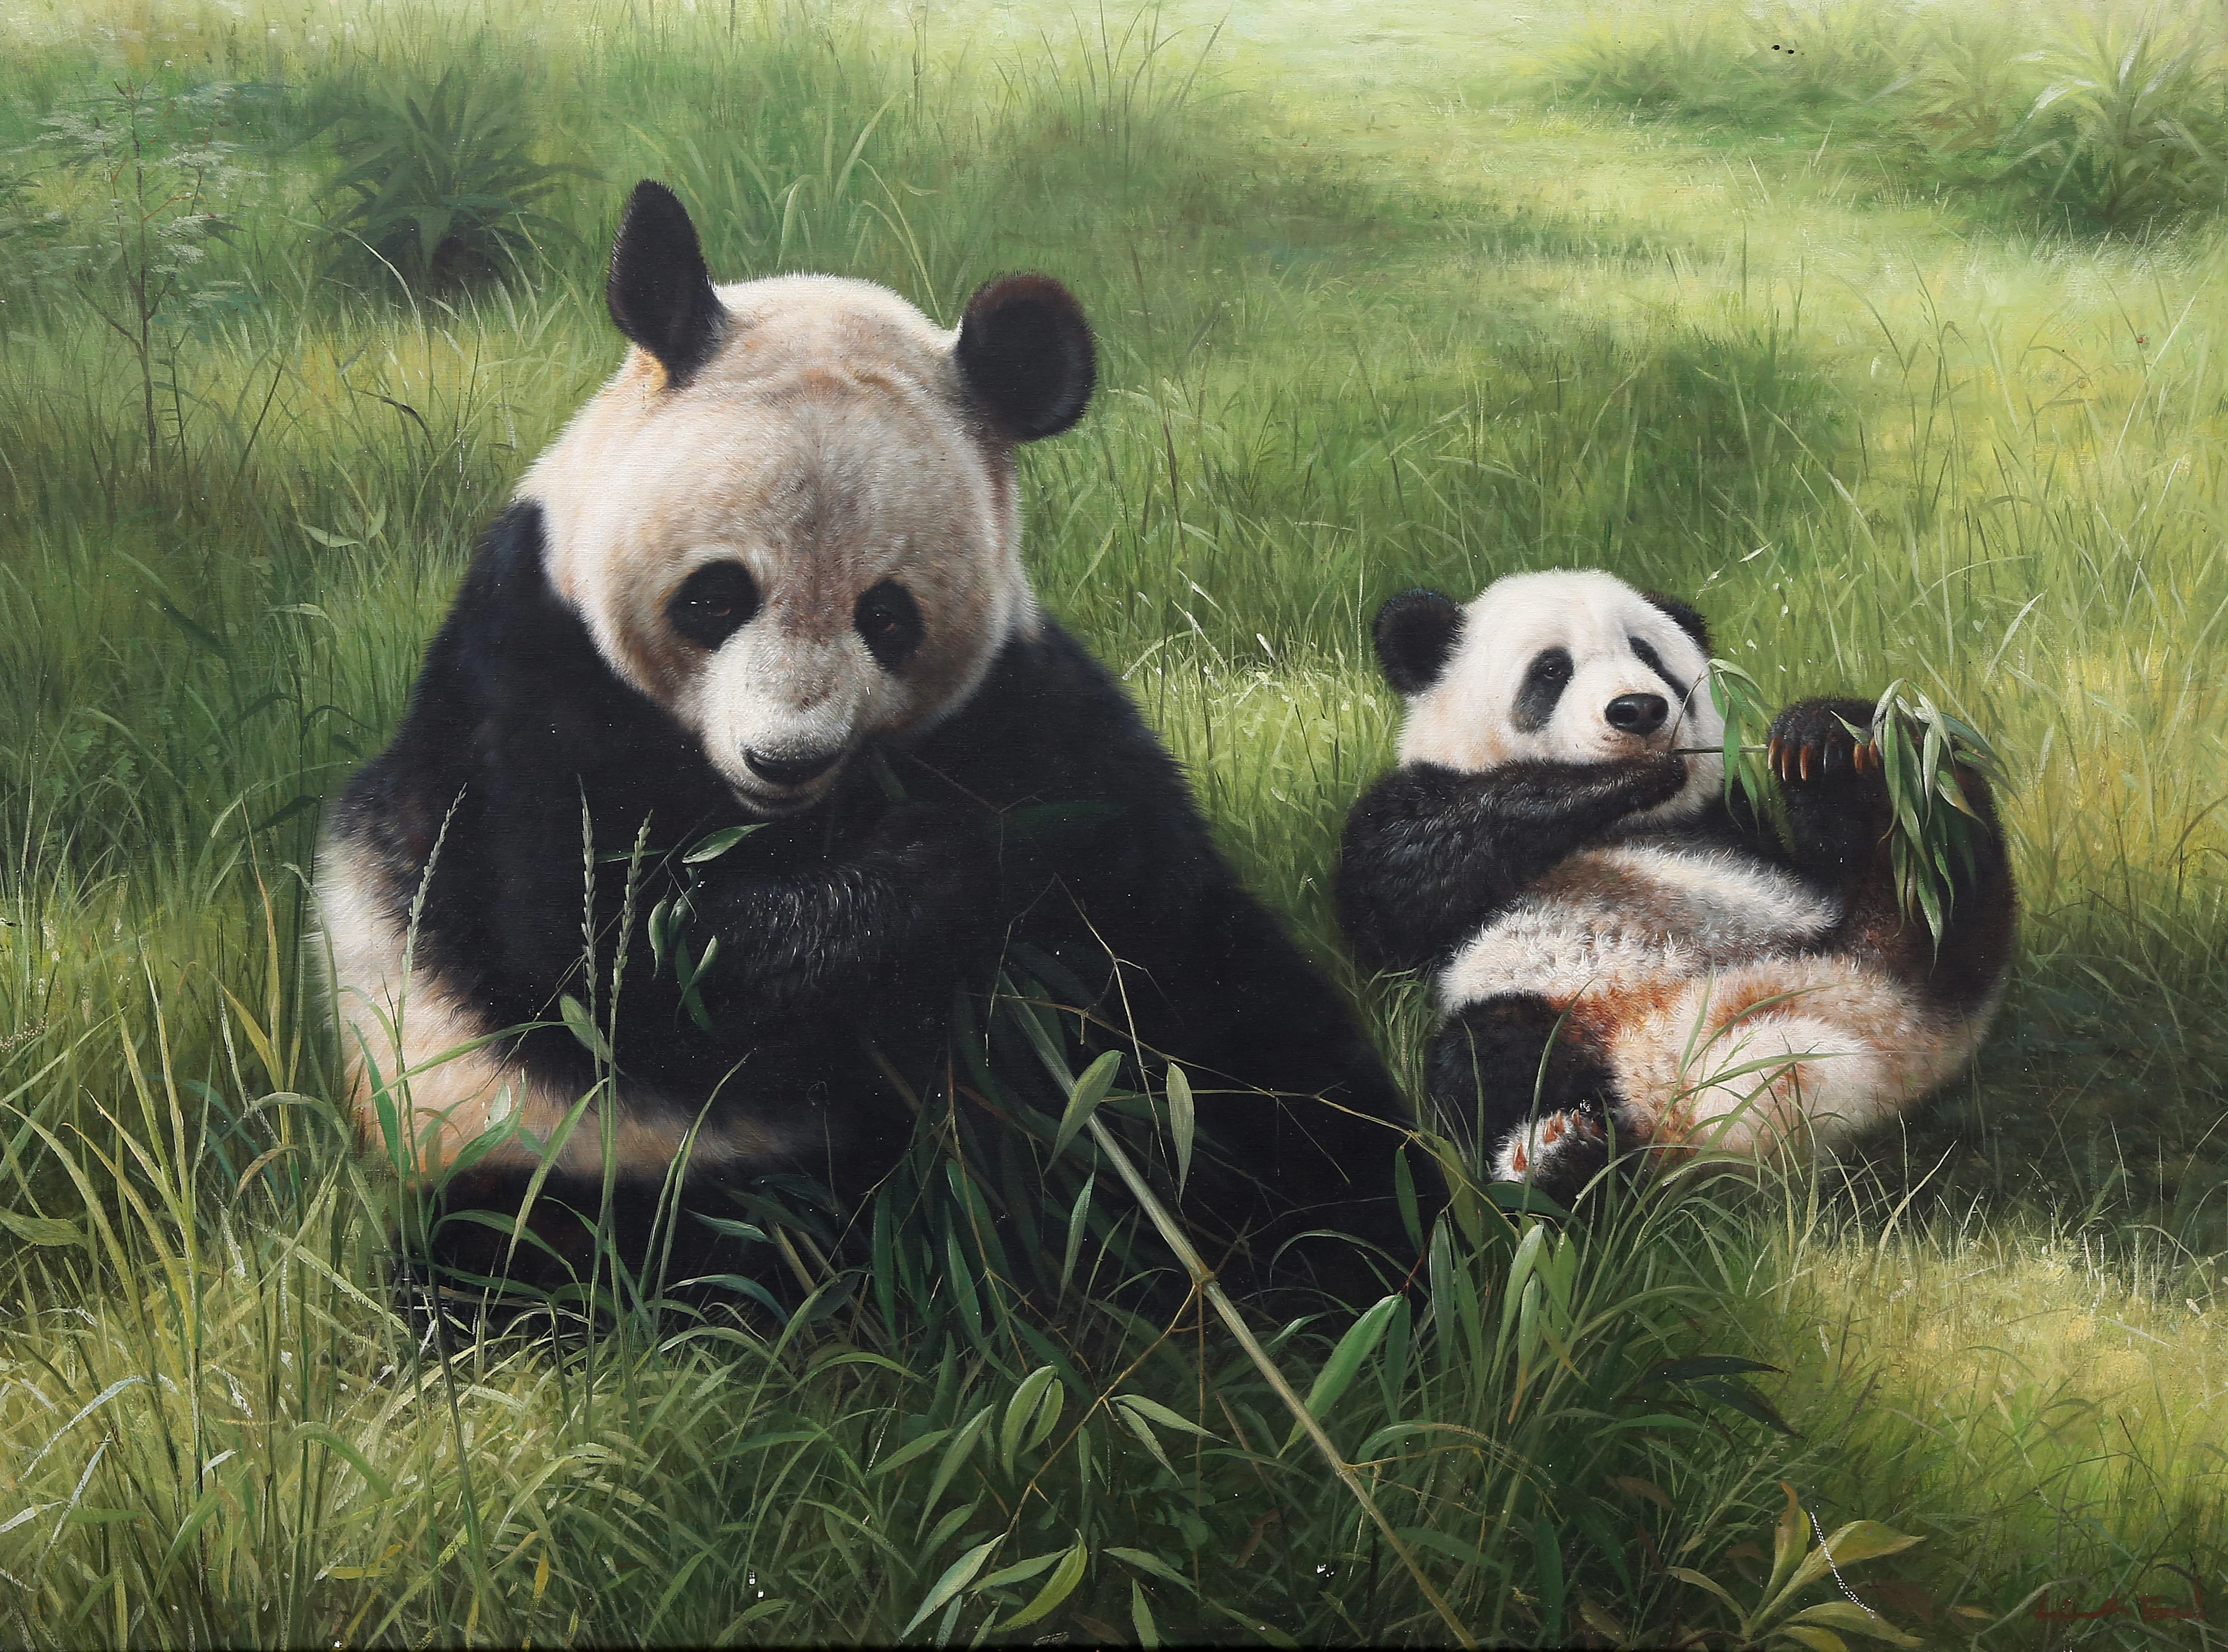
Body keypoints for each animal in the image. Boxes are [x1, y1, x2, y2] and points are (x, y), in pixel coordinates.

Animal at [318, 180, 1415, 1306]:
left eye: (887, 615)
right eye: (716, 594)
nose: (784, 758)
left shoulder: (1027, 702)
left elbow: (1148, 903)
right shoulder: (528, 683)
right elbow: (604, 947)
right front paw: (935, 876)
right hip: (551, 1144)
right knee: (560, 1245)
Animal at [1336, 569, 2015, 1203]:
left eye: (1649, 654)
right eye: (1551, 669)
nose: (1638, 709)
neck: (1635, 827)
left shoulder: (1740, 826)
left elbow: (1826, 847)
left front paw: (1815, 737)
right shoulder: (1408, 825)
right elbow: (1407, 876)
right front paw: (1617, 777)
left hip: (1888, 934)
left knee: (1944, 857)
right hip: (1562, 1019)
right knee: (1491, 1056)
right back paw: (1565, 1160)